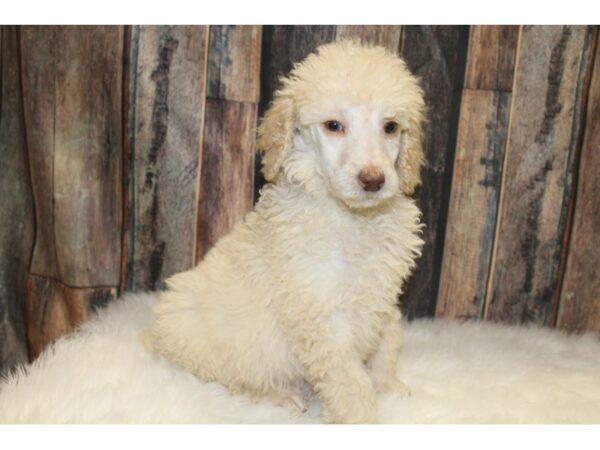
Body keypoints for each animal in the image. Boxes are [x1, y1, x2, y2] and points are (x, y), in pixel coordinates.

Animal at [147, 40, 424, 424]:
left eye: (391, 126)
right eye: (333, 125)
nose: (373, 180)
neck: (352, 217)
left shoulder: (382, 294)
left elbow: (387, 344)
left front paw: (390, 386)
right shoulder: (322, 313)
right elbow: (351, 380)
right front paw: (362, 417)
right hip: (202, 337)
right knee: (233, 381)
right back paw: (279, 395)